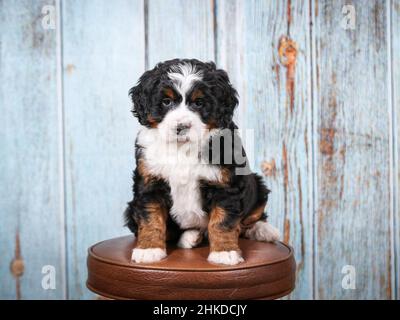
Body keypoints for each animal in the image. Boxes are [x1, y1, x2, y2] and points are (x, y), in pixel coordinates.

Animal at [123, 58, 280, 264]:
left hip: (256, 183)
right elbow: (151, 218)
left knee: (251, 218)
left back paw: (265, 230)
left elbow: (223, 221)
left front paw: (224, 252)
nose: (181, 126)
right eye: (166, 102)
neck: (182, 148)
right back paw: (191, 236)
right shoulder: (149, 182)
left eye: (199, 103)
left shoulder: (225, 185)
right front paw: (149, 249)